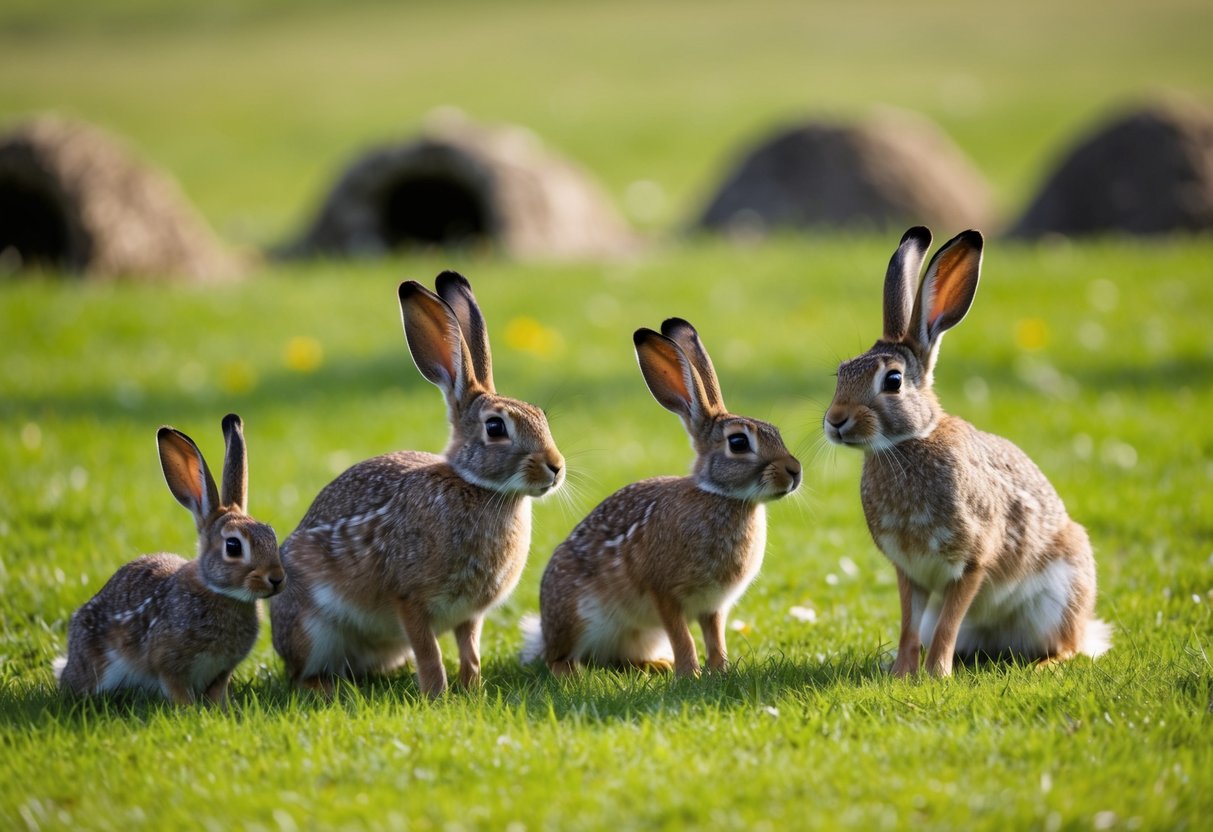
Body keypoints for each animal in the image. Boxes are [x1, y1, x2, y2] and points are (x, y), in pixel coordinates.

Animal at [55, 414, 284, 705]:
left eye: (271, 535)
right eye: (233, 546)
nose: (277, 578)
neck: (220, 592)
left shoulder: (222, 670)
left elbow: (217, 690)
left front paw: (220, 708)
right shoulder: (167, 663)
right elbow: (175, 688)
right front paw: (190, 710)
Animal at [270, 272, 565, 697]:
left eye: (541, 417)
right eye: (495, 427)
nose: (556, 467)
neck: (476, 488)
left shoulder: (469, 614)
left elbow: (470, 650)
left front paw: (471, 690)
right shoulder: (409, 600)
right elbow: (429, 652)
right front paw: (437, 695)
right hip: (312, 627)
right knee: (302, 673)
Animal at [522, 318, 801, 677]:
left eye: (776, 433)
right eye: (738, 443)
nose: (795, 471)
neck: (722, 497)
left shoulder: (713, 606)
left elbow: (715, 636)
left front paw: (720, 671)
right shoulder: (664, 593)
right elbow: (683, 635)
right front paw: (690, 674)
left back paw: (657, 665)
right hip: (577, 614)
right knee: (558, 658)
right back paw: (574, 673)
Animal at [823, 226, 1112, 677]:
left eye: (893, 381)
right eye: (841, 374)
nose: (835, 421)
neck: (911, 442)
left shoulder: (972, 561)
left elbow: (949, 622)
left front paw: (935, 676)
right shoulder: (910, 571)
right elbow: (909, 625)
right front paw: (902, 673)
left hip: (1062, 594)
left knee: (1068, 644)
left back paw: (1041, 666)